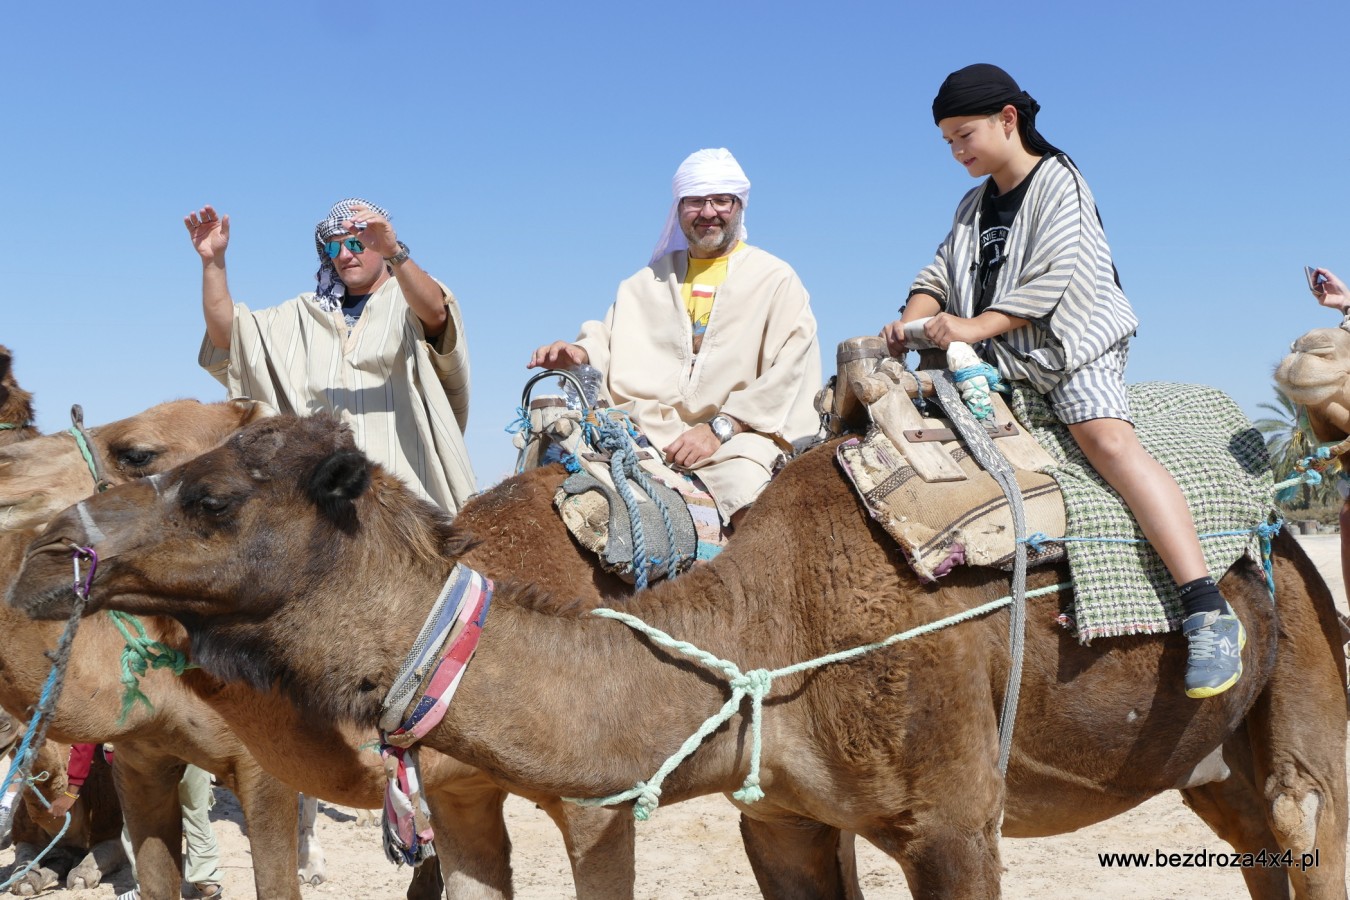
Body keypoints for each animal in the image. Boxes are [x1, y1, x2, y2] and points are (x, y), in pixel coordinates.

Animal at [9, 413, 1346, 898]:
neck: (766, 634)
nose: (50, 555)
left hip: (1303, 699)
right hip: (1208, 767)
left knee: (1306, 821)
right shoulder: (787, 818)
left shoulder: (956, 820)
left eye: (210, 496)